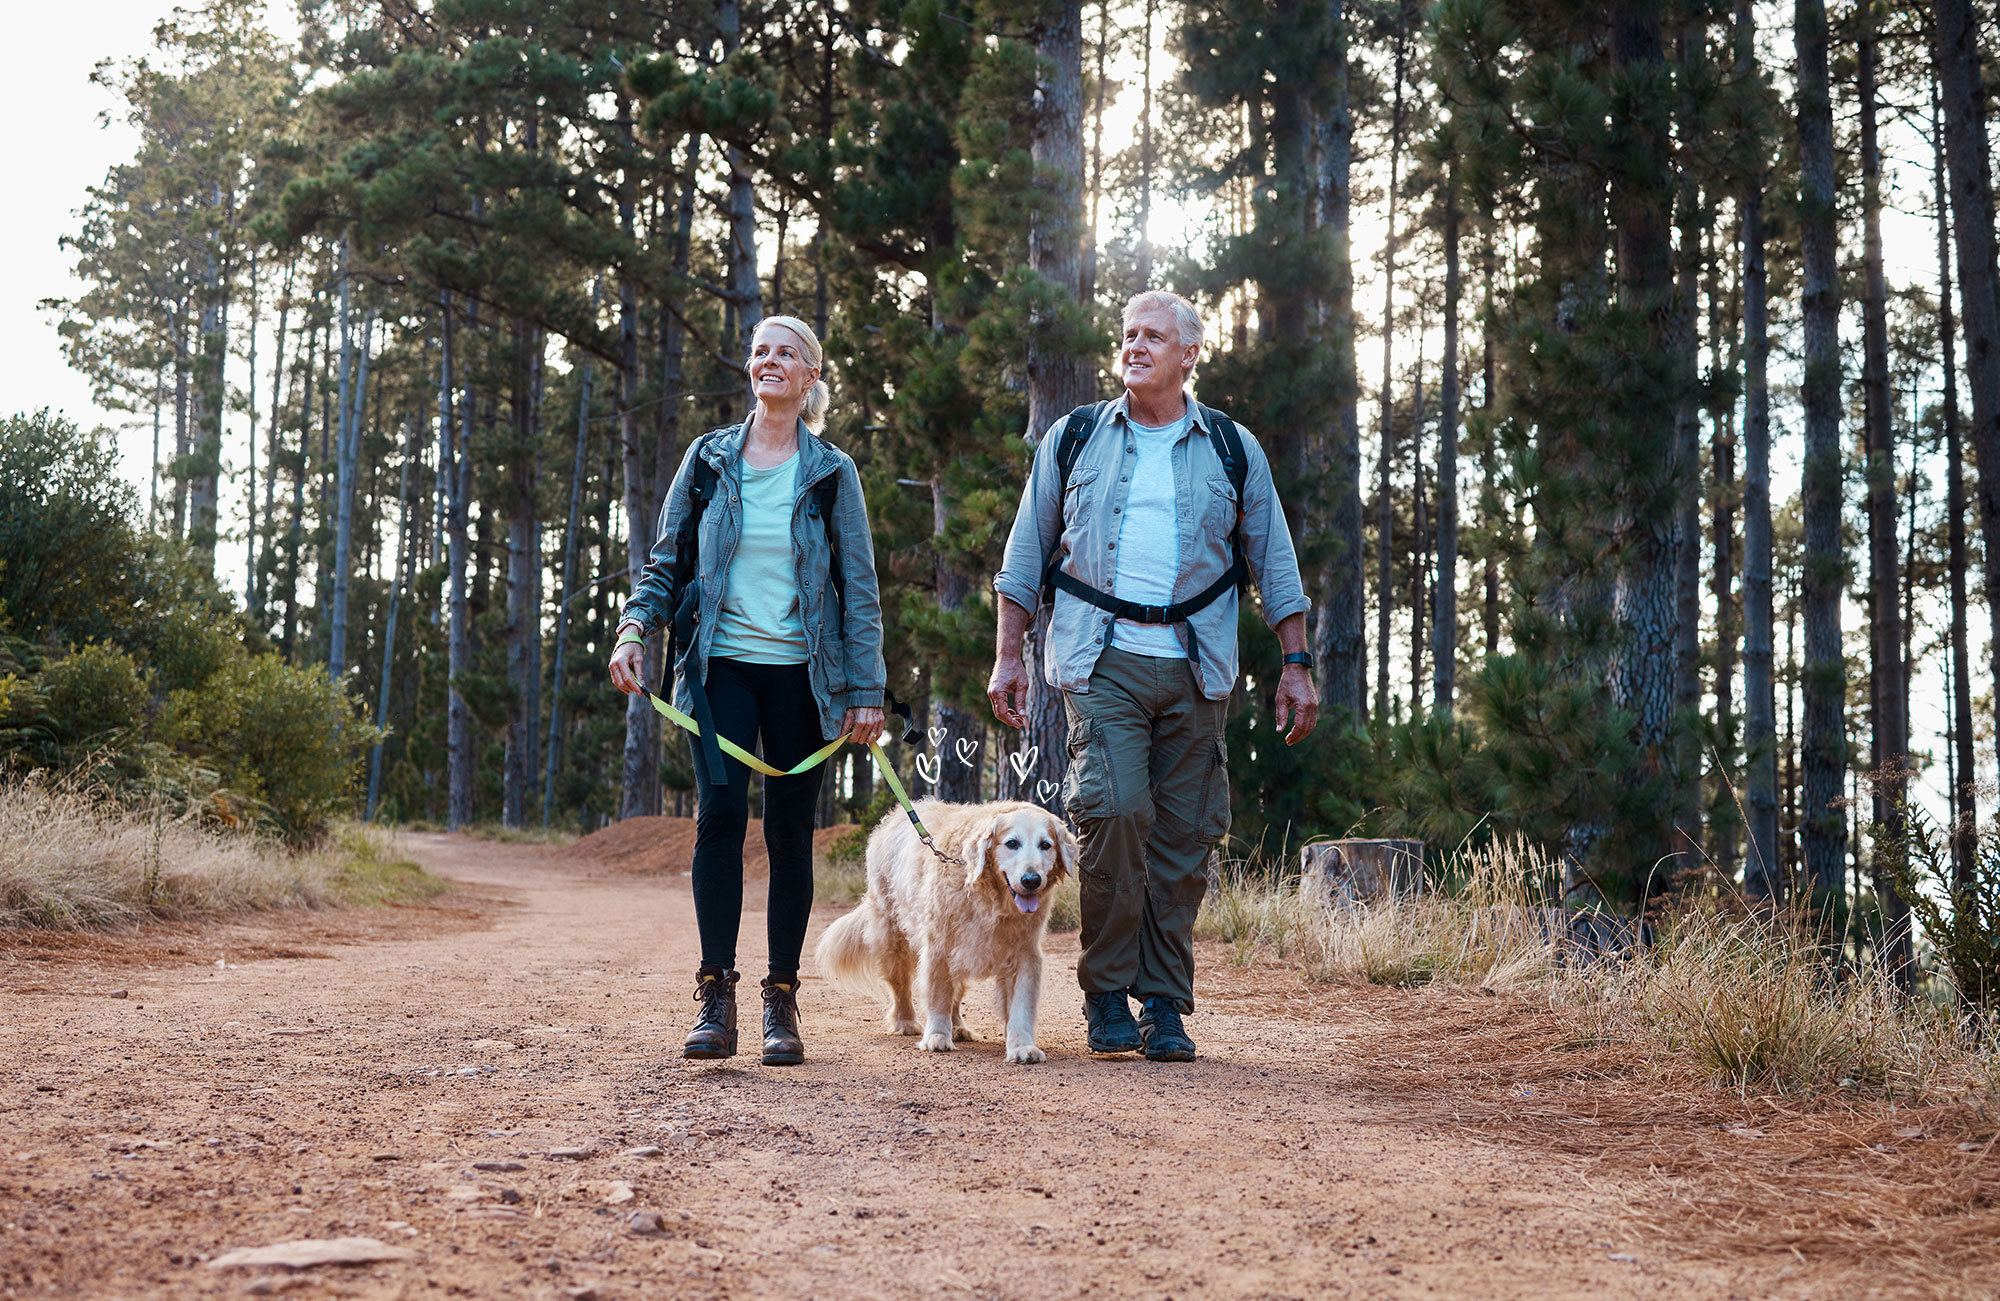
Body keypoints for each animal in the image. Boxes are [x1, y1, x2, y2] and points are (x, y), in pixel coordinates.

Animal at [812, 796, 1072, 1056]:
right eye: (1012, 843)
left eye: (1046, 845)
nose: (1032, 881)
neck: (990, 898)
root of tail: (890, 818)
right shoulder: (940, 946)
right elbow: (938, 997)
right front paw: (936, 1036)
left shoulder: (1024, 952)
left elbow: (1020, 1005)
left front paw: (1022, 1046)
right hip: (893, 938)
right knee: (901, 986)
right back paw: (906, 1022)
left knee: (955, 996)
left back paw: (957, 1026)